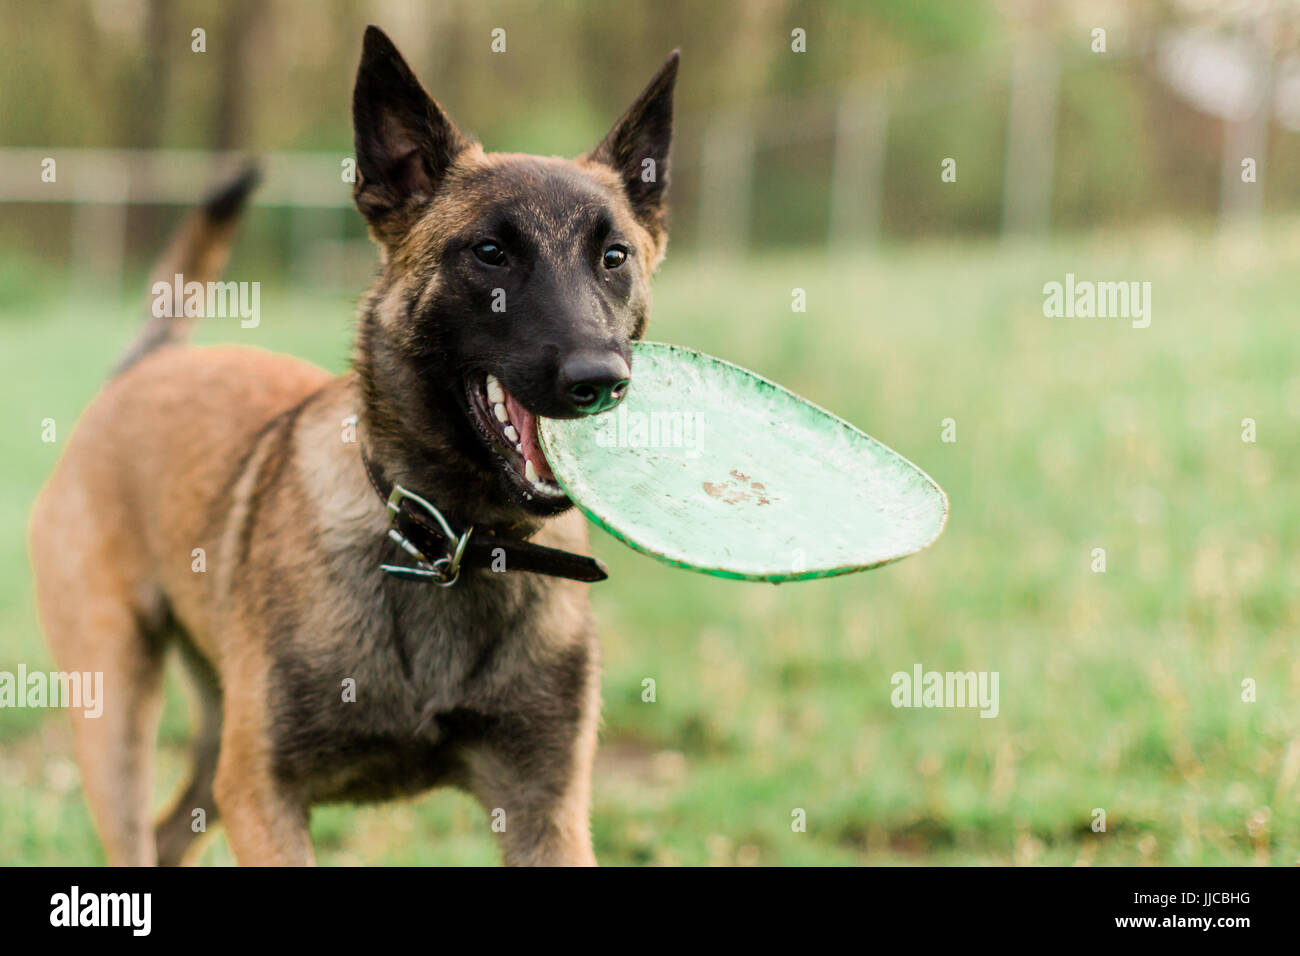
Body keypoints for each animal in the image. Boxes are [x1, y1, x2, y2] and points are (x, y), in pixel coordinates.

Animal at [30, 24, 681, 868]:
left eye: (615, 257)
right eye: (490, 253)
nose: (599, 379)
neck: (450, 542)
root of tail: (148, 367)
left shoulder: (546, 810)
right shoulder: (264, 795)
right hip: (117, 716)